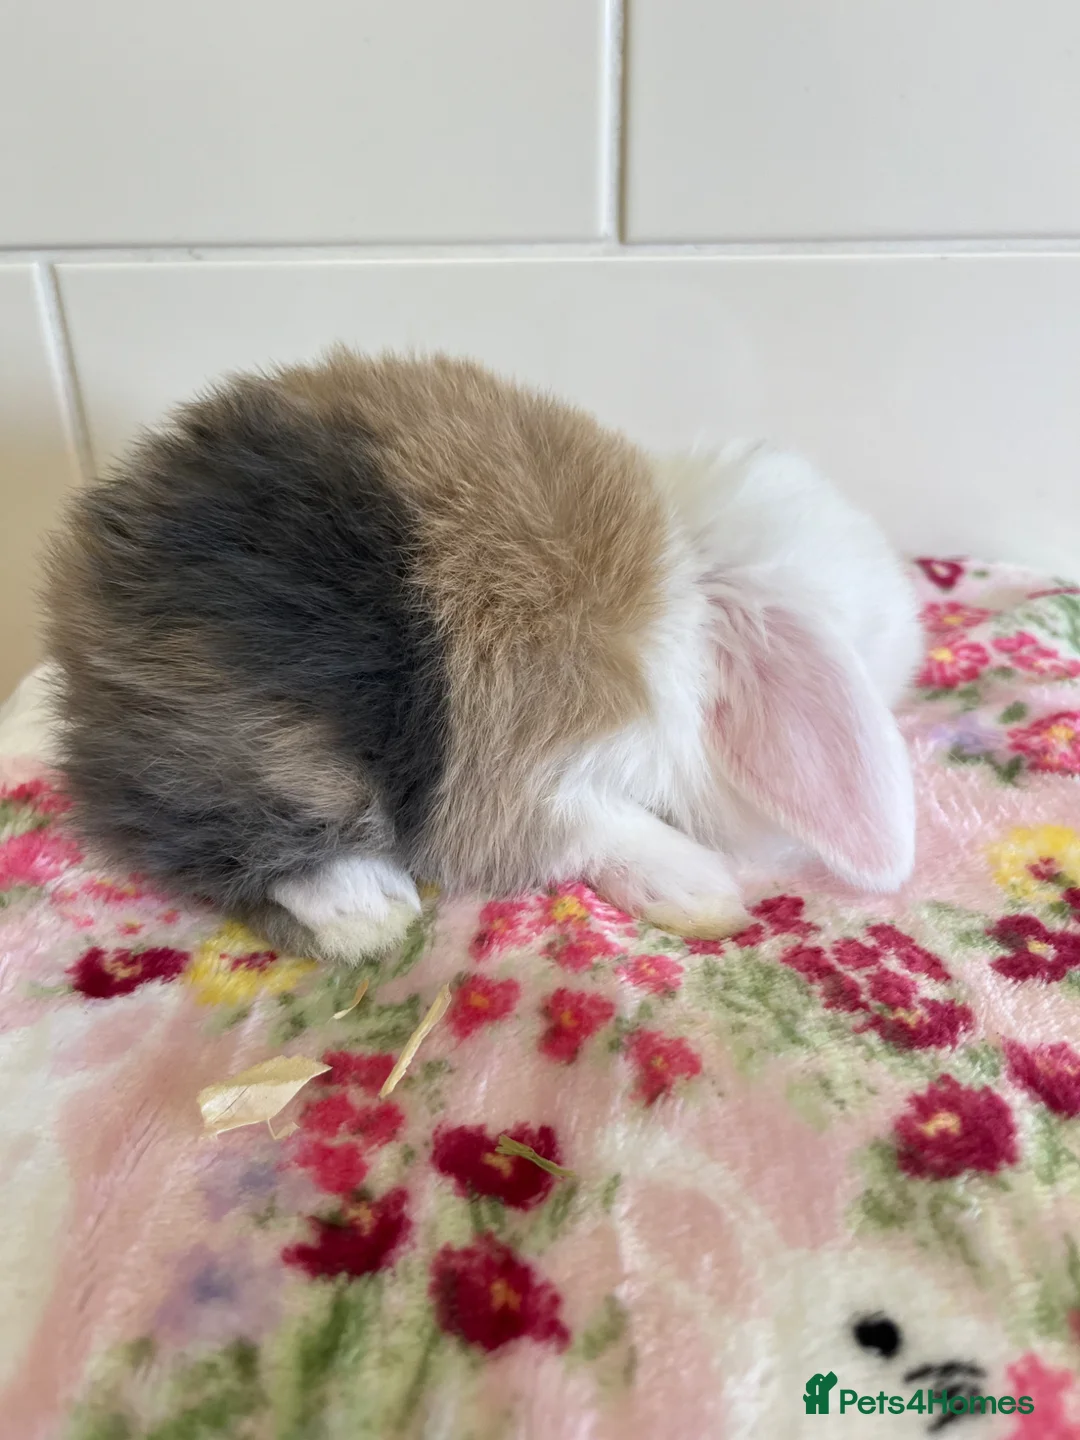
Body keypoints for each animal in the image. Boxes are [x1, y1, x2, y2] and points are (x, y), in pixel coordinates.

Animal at [44, 350, 920, 964]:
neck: (688, 592)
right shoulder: (523, 777)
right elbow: (597, 825)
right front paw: (702, 891)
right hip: (274, 754)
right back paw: (367, 909)